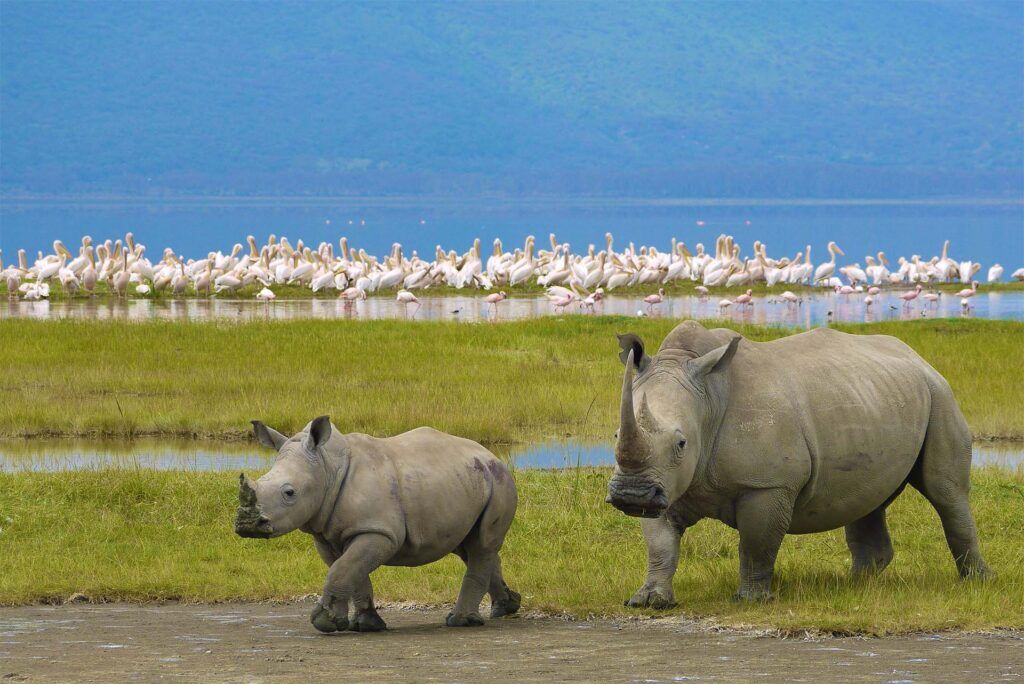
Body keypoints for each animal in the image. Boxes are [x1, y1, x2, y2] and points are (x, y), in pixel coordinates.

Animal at [234, 413, 520, 634]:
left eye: (289, 493)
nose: (246, 525)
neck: (327, 468)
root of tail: (490, 454)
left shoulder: (379, 532)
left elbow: (342, 569)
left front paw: (324, 623)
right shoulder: (327, 535)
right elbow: (351, 571)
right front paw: (363, 625)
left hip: (499, 481)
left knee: (481, 545)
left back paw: (460, 621)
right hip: (468, 480)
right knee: (470, 546)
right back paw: (506, 607)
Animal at [606, 319, 991, 602]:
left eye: (682, 443)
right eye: (615, 436)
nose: (631, 496)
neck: (708, 400)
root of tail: (919, 357)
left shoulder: (767, 484)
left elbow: (756, 545)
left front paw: (751, 600)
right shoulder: (666, 482)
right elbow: (660, 544)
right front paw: (649, 601)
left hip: (941, 395)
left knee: (946, 492)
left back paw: (978, 582)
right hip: (876, 396)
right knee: (871, 497)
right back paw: (855, 585)